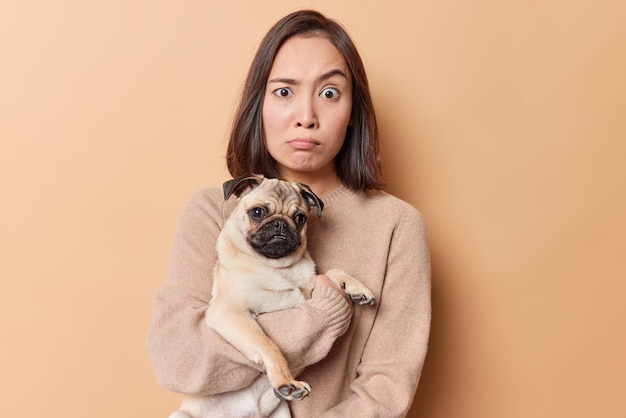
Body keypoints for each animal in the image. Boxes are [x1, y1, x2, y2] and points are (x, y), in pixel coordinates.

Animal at [169, 174, 376, 418]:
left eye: (300, 218)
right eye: (258, 212)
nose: (281, 223)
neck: (278, 267)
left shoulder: (309, 293)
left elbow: (332, 272)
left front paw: (357, 288)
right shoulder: (229, 312)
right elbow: (269, 345)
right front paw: (287, 383)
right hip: (180, 414)